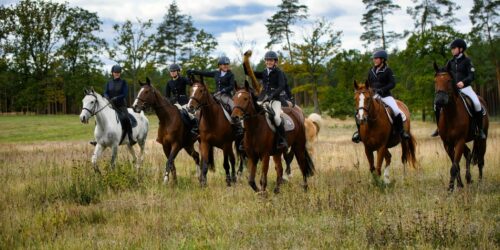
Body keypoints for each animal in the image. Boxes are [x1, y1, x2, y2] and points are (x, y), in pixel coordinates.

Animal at [434, 61, 488, 190]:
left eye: (449, 80)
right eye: (435, 81)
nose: (440, 100)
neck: (451, 116)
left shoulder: (459, 141)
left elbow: (454, 166)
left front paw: (450, 189)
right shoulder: (448, 144)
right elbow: (456, 165)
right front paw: (459, 185)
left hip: (481, 140)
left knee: (480, 161)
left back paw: (479, 182)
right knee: (468, 154)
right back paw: (468, 179)